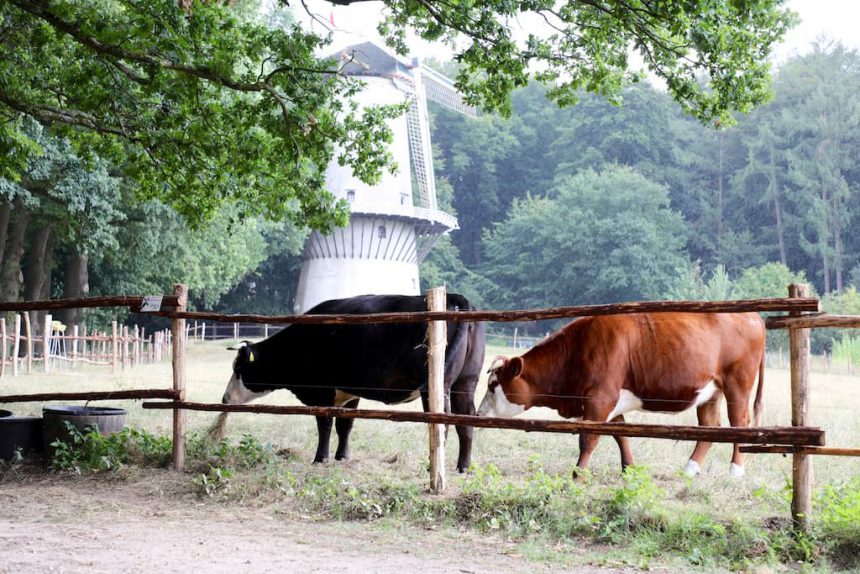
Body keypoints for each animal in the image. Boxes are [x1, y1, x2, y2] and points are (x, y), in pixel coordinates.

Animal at [220, 294, 484, 474]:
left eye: (238, 369)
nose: (224, 399)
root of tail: (456, 299)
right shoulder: (349, 393)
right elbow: (345, 425)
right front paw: (341, 457)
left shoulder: (322, 391)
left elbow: (325, 425)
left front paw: (320, 458)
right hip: (465, 383)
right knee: (465, 422)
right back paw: (463, 467)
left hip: (438, 387)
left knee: (443, 424)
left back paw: (435, 466)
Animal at [478, 312, 764, 480]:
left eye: (493, 384)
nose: (479, 413)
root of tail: (751, 314)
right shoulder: (608, 403)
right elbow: (621, 434)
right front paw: (629, 469)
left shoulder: (599, 399)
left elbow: (588, 440)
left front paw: (578, 474)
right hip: (710, 392)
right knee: (709, 427)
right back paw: (689, 469)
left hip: (737, 384)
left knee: (740, 423)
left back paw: (735, 471)